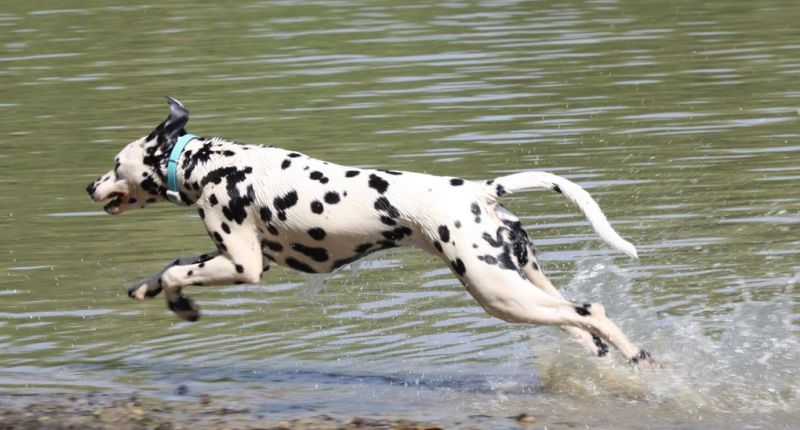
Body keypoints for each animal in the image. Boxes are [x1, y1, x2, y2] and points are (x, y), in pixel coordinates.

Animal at [87, 98, 660, 370]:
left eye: (115, 164)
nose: (89, 185)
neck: (213, 164)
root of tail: (483, 191)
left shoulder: (243, 265)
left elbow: (178, 273)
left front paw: (181, 303)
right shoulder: (236, 256)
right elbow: (170, 268)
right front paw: (148, 289)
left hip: (499, 294)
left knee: (591, 312)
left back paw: (638, 358)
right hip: (524, 285)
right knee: (578, 325)